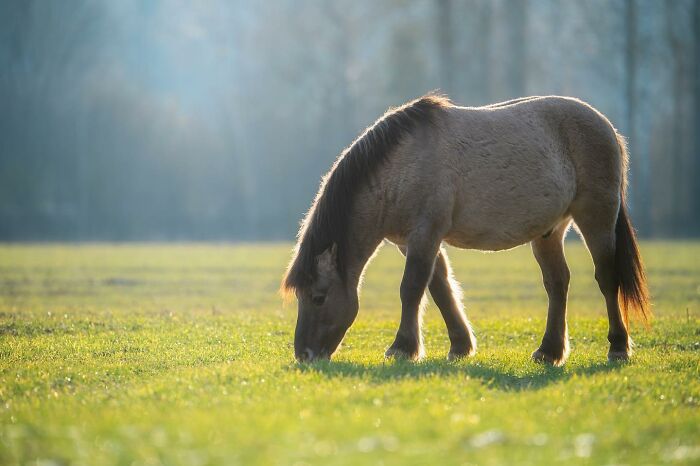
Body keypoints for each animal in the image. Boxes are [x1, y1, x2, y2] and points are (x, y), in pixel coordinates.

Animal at [280, 93, 652, 364]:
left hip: (596, 218)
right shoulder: (412, 241)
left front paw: (402, 348)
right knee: (557, 284)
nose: (305, 355)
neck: (400, 165)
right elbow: (440, 288)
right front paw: (459, 346)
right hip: (549, 232)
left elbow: (412, 287)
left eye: (318, 296)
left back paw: (618, 347)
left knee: (607, 279)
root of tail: (608, 128)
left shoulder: (425, 233)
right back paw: (549, 351)